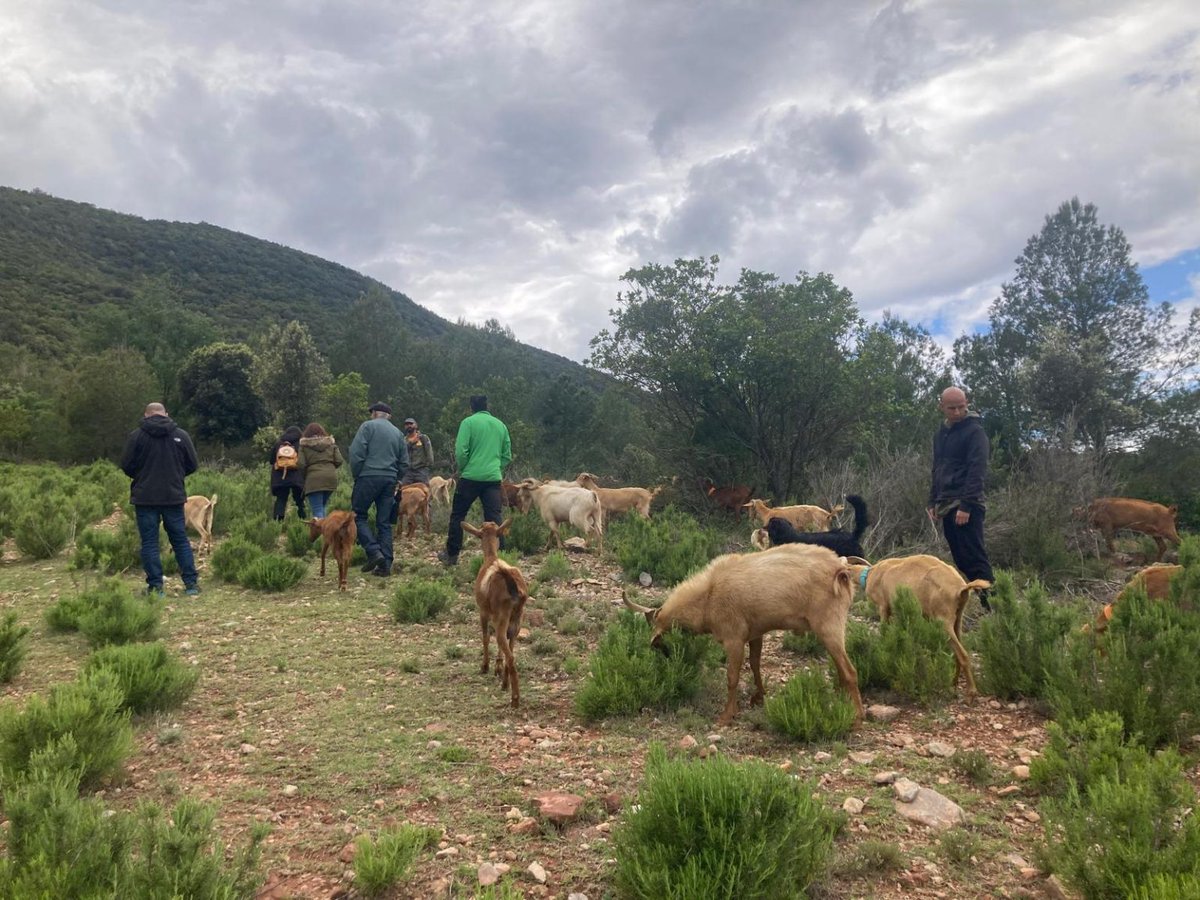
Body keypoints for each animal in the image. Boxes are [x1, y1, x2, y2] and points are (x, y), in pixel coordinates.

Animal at [619, 542, 864, 724]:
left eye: (658, 644)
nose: (667, 663)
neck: (708, 596)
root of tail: (840, 571)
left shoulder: (733, 638)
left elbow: (732, 677)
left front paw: (727, 715)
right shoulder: (755, 633)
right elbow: (755, 664)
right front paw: (759, 697)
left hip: (829, 626)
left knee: (850, 671)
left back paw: (857, 716)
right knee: (841, 670)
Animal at [840, 556, 988, 696]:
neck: (871, 574)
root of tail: (961, 588)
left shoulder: (883, 607)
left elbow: (884, 631)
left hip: (943, 619)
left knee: (962, 654)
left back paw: (971, 692)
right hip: (958, 617)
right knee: (959, 651)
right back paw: (953, 683)